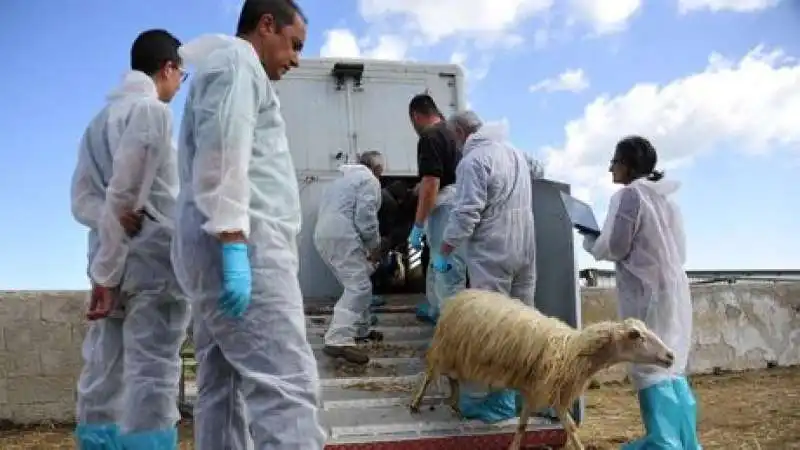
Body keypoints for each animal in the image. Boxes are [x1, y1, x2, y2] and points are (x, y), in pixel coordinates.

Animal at [410, 288, 672, 450]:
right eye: (635, 335)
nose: (670, 356)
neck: (571, 350)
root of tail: (460, 296)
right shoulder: (544, 390)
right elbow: (534, 425)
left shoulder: (545, 391)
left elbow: (554, 426)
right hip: (446, 347)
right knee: (431, 372)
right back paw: (416, 403)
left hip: (457, 353)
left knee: (450, 376)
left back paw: (455, 402)